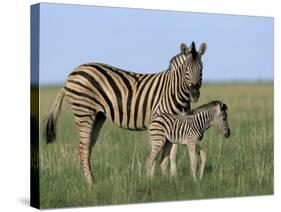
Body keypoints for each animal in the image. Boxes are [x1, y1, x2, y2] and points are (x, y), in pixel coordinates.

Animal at [43, 41, 206, 186]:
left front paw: (172, 178)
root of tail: (71, 74)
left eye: (201, 68)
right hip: (83, 111)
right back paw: (90, 184)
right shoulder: (162, 121)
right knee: (82, 147)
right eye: (186, 69)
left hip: (97, 116)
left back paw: (92, 179)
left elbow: (172, 152)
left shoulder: (178, 123)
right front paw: (153, 179)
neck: (173, 90)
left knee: (88, 145)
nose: (195, 93)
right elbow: (161, 152)